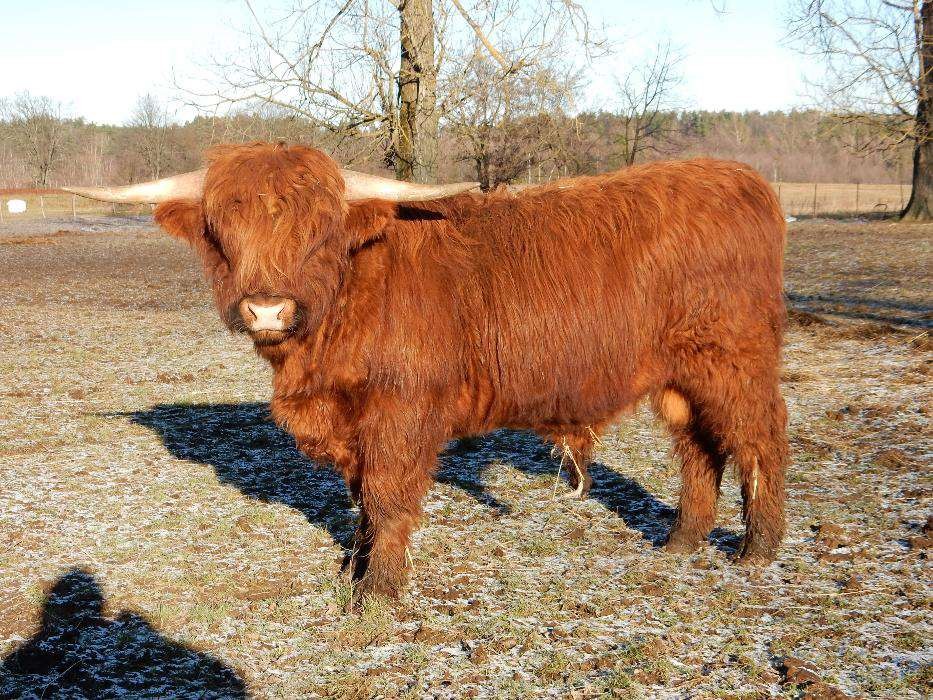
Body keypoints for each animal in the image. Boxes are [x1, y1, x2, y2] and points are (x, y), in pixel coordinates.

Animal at [66, 142, 788, 605]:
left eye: (319, 229)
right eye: (221, 227)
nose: (266, 307)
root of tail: (739, 178)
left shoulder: (401, 411)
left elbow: (387, 497)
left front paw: (378, 595)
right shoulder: (353, 422)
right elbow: (360, 500)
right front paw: (351, 572)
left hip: (733, 358)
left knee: (759, 439)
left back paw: (756, 550)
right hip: (678, 376)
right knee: (698, 445)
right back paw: (681, 542)